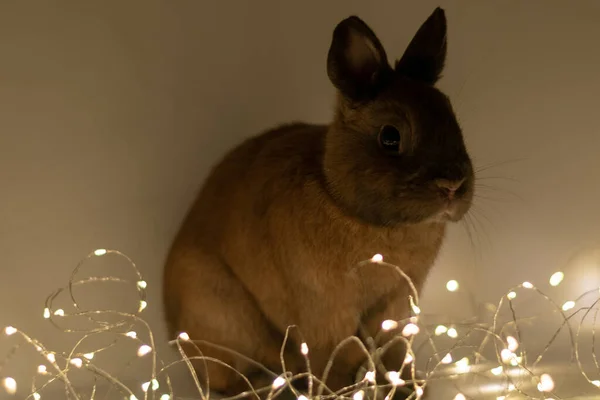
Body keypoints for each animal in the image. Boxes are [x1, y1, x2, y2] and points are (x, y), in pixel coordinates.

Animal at [163, 7, 474, 400]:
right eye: (390, 137)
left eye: (454, 121)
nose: (453, 186)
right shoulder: (326, 310)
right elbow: (338, 356)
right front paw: (340, 390)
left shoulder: (398, 303)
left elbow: (393, 350)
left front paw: (408, 388)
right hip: (220, 316)